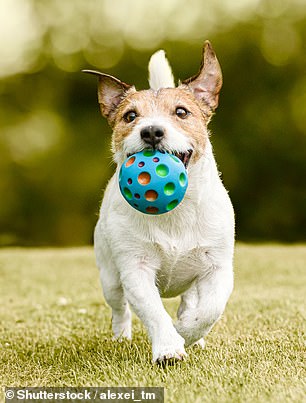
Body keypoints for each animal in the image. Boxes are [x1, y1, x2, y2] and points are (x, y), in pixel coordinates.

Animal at [83, 41, 234, 366]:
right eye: (130, 116)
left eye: (181, 112)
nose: (151, 131)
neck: (176, 212)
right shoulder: (135, 269)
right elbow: (152, 311)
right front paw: (168, 346)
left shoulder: (217, 267)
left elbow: (210, 310)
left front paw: (187, 332)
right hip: (109, 276)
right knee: (119, 308)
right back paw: (121, 336)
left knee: (190, 301)